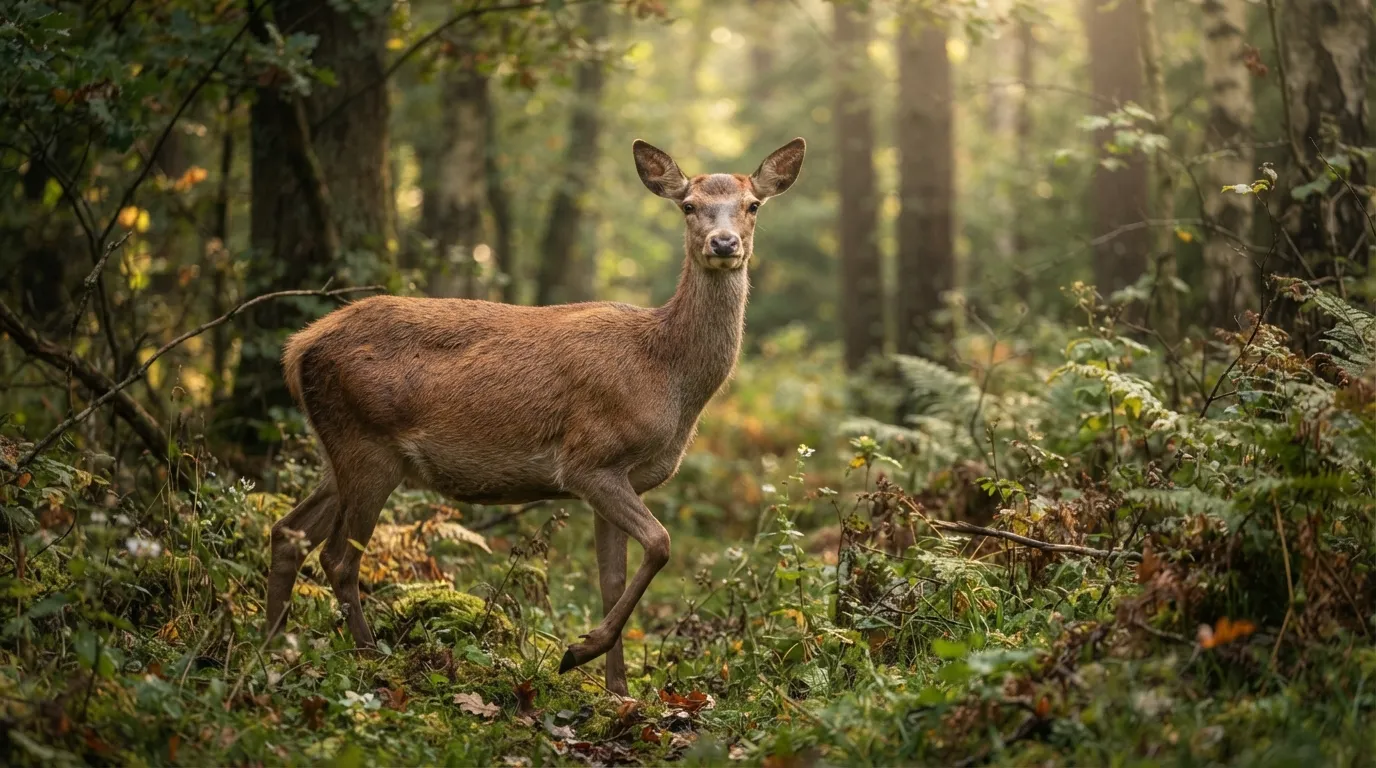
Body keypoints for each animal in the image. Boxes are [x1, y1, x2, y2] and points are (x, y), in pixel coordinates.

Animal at [264, 137, 806, 697]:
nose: (723, 243)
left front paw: (618, 691)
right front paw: (578, 651)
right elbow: (660, 543)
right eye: (689, 206)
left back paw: (268, 653)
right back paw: (370, 660)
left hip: (341, 449)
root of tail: (299, 348)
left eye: (752, 205)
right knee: (338, 558)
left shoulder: (620, 477)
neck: (667, 373)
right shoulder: (590, 459)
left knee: (287, 533)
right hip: (367, 444)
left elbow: (611, 579)